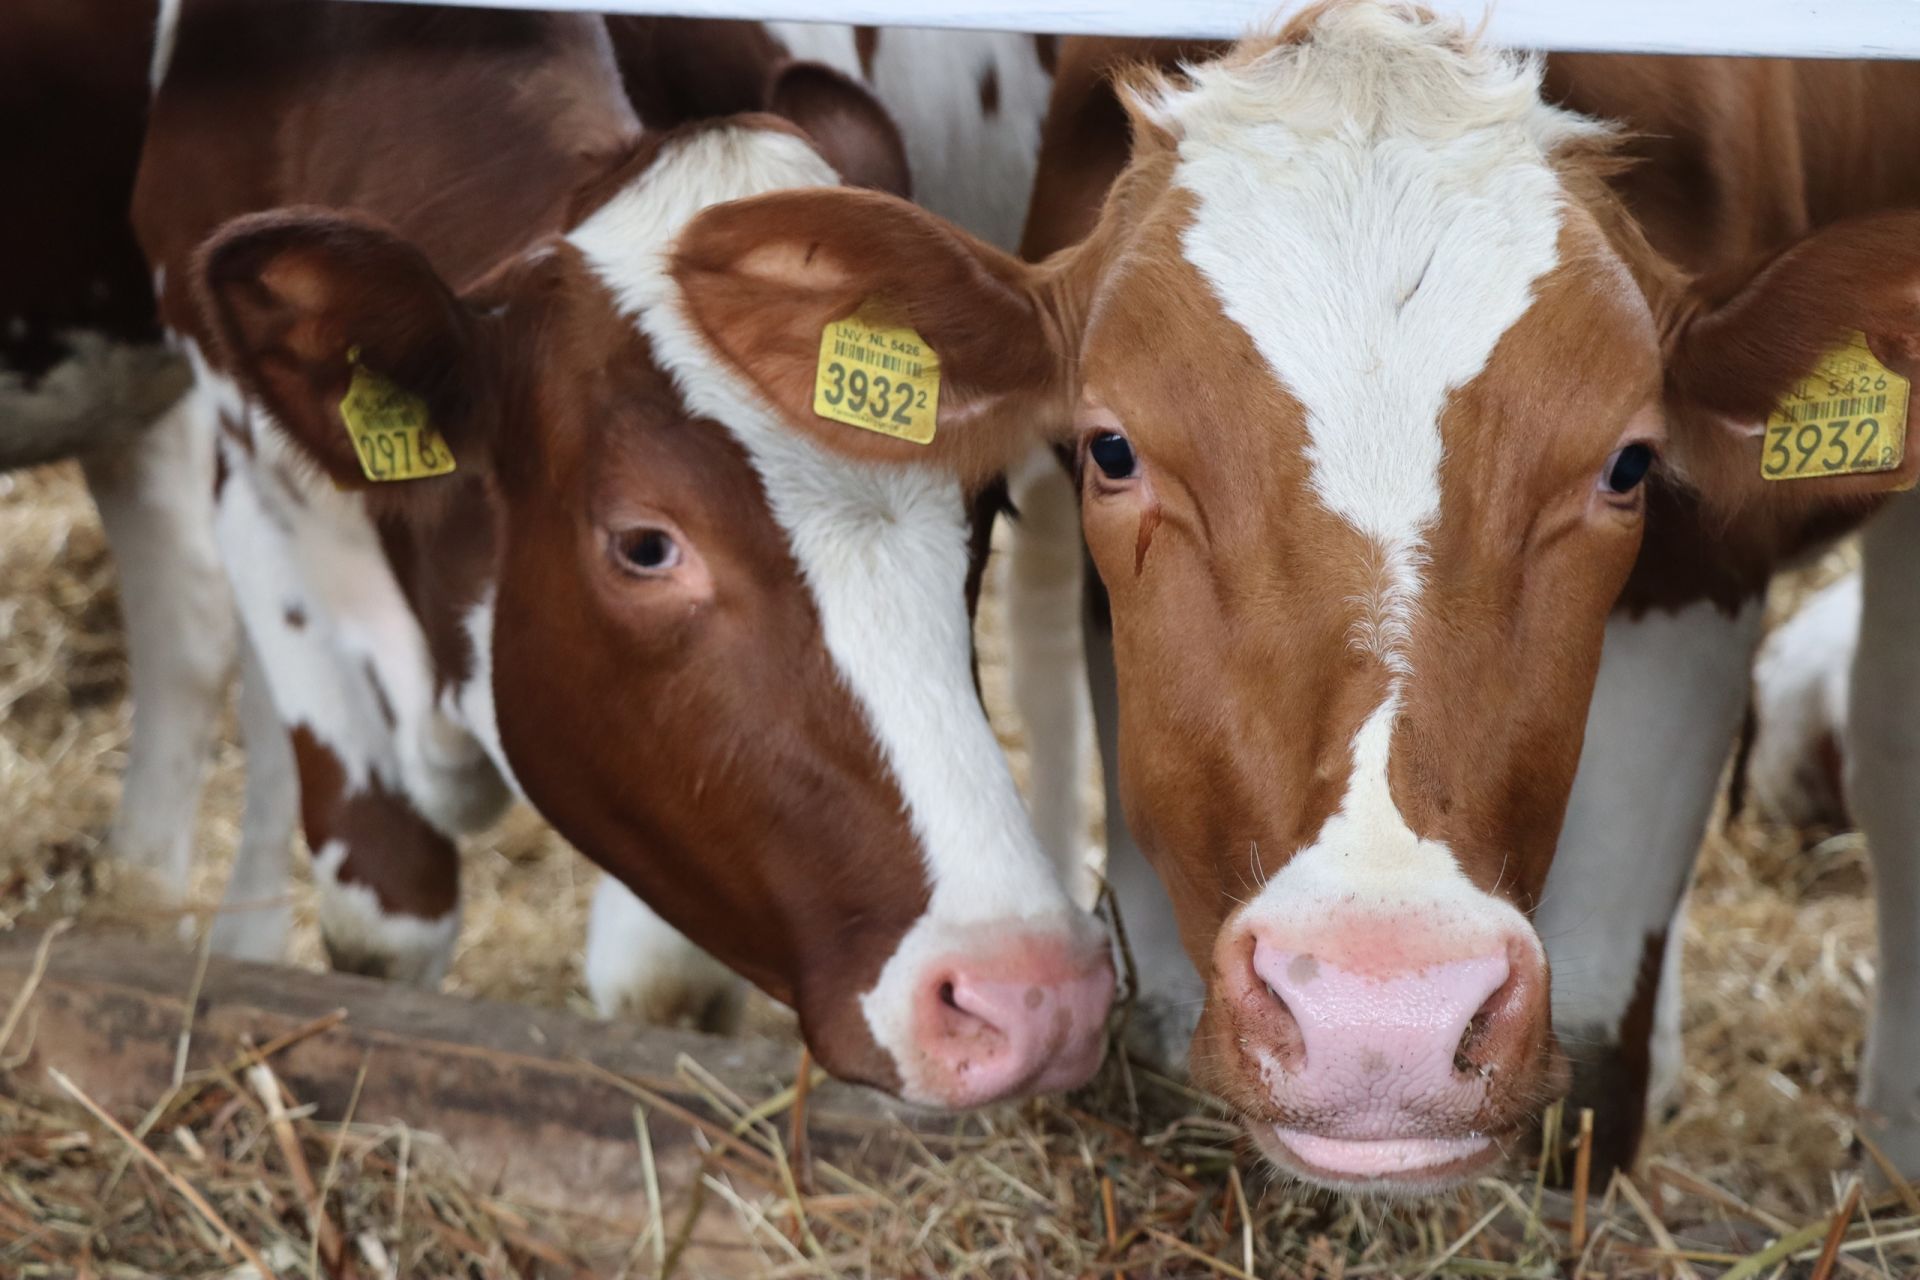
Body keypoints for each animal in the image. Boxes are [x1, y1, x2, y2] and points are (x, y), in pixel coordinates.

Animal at [131, 0, 1113, 1105]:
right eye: (647, 544)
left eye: (980, 506)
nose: (1031, 991)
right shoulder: (258, 488)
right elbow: (383, 920)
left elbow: (657, 989)